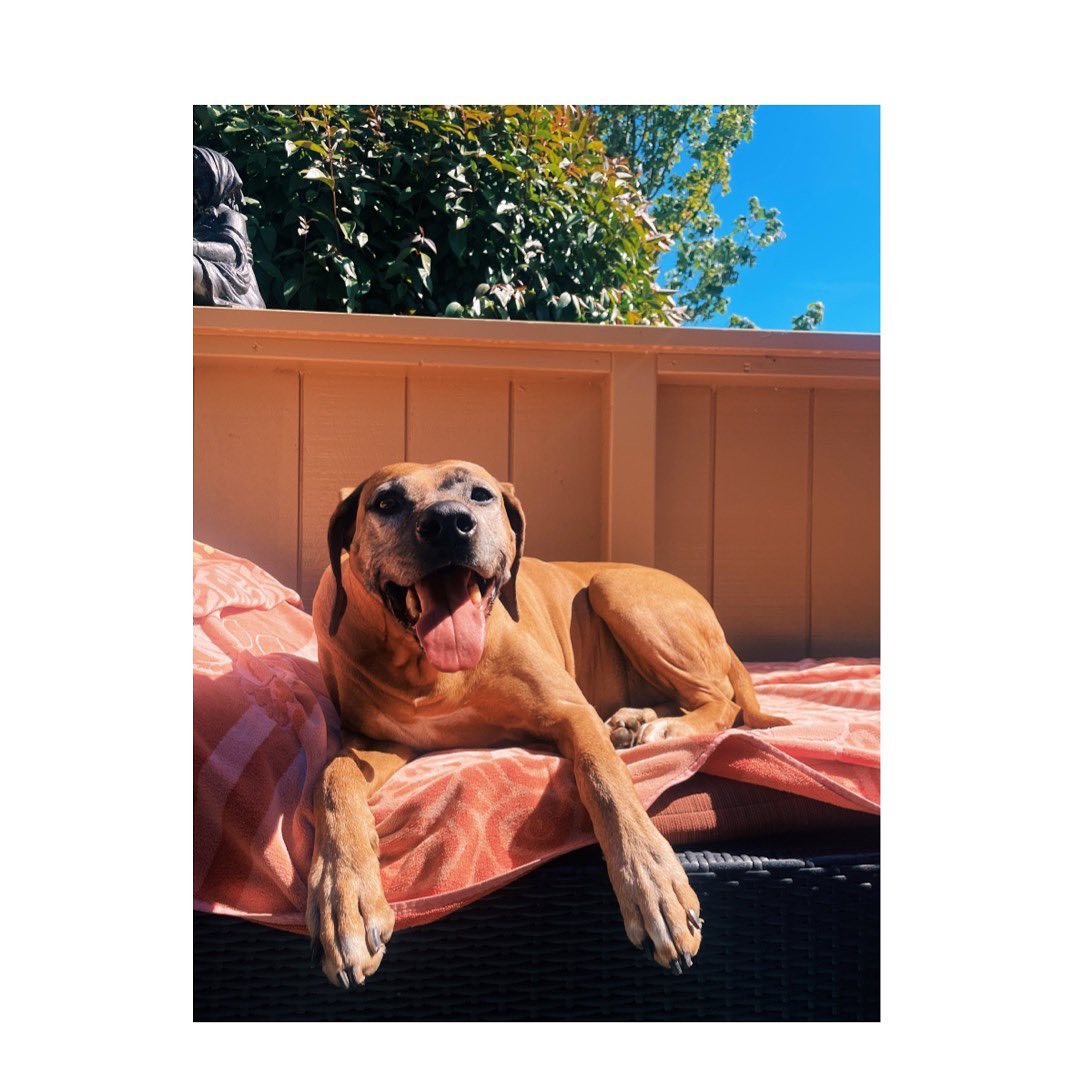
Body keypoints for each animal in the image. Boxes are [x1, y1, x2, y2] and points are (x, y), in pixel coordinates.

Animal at [307, 459, 790, 989]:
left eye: (480, 494)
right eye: (387, 502)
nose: (448, 524)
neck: (434, 673)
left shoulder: (571, 712)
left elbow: (606, 782)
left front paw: (653, 884)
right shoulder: (377, 740)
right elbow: (332, 778)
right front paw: (345, 897)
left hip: (614, 589)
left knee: (720, 700)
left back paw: (669, 730)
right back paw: (636, 719)